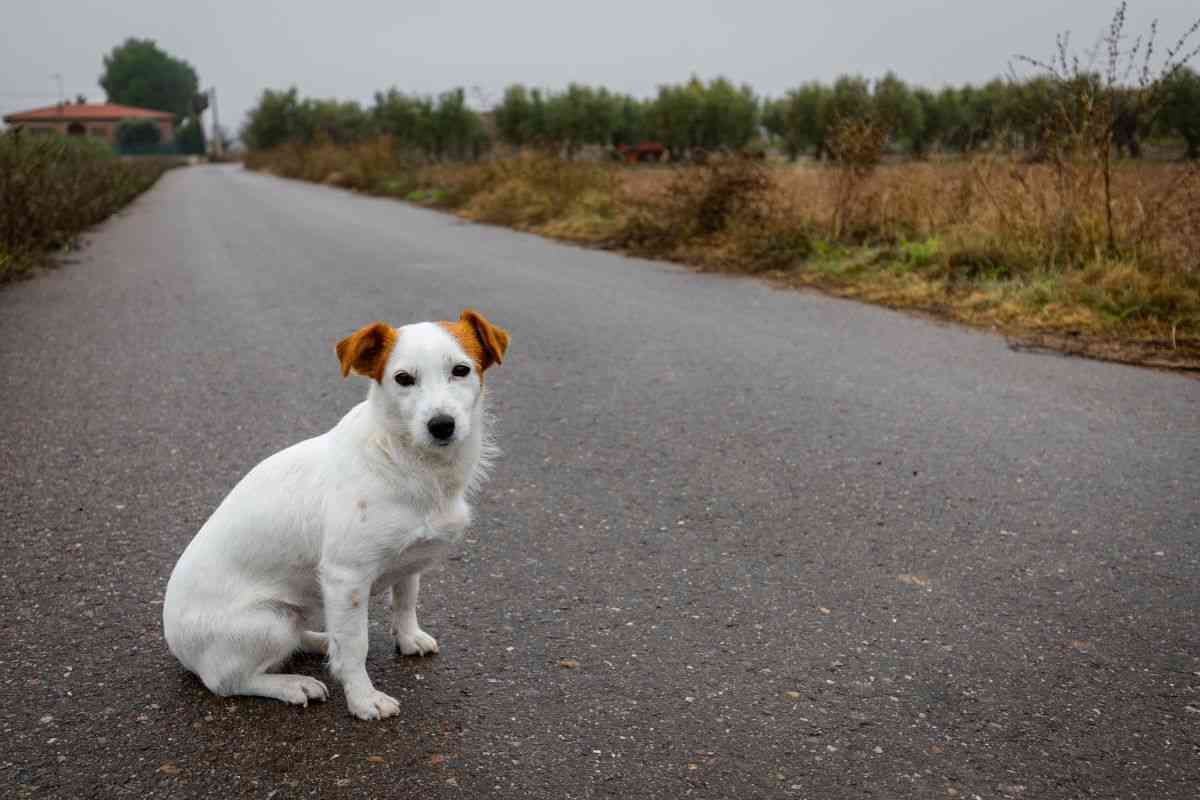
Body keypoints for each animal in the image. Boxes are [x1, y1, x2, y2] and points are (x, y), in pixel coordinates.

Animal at [162, 309, 508, 719]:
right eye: (403, 379)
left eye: (461, 370)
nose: (441, 425)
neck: (409, 462)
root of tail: (176, 643)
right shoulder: (347, 578)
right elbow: (356, 645)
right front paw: (363, 699)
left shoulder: (409, 562)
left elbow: (405, 600)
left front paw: (408, 638)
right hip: (271, 621)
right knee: (226, 681)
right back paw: (291, 684)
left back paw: (320, 642)